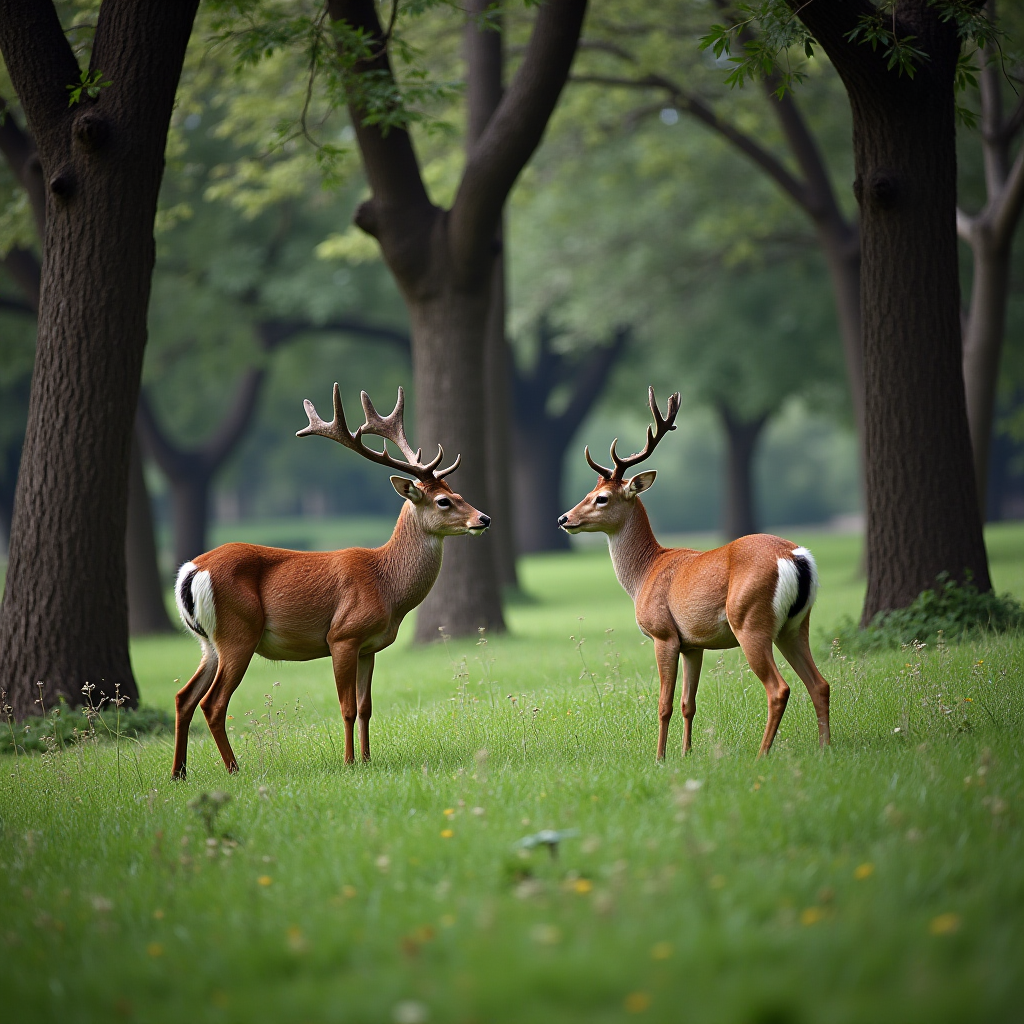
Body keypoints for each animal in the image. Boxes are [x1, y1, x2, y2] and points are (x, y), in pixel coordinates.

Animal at [169, 382, 489, 774]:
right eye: (444, 501)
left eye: (459, 494)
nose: (484, 518)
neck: (386, 585)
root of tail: (192, 570)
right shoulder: (343, 635)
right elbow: (347, 707)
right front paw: (350, 762)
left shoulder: (370, 646)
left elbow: (366, 707)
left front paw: (367, 759)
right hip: (237, 632)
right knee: (213, 703)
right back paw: (233, 770)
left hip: (209, 642)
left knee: (184, 696)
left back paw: (179, 774)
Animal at [561, 387, 831, 757]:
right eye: (589, 493)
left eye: (601, 498)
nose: (564, 518)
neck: (645, 572)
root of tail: (795, 556)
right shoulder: (693, 643)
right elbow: (689, 703)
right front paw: (686, 753)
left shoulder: (664, 634)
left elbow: (664, 705)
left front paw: (660, 758)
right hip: (795, 625)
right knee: (820, 684)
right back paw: (825, 748)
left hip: (750, 619)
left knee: (779, 689)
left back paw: (762, 755)